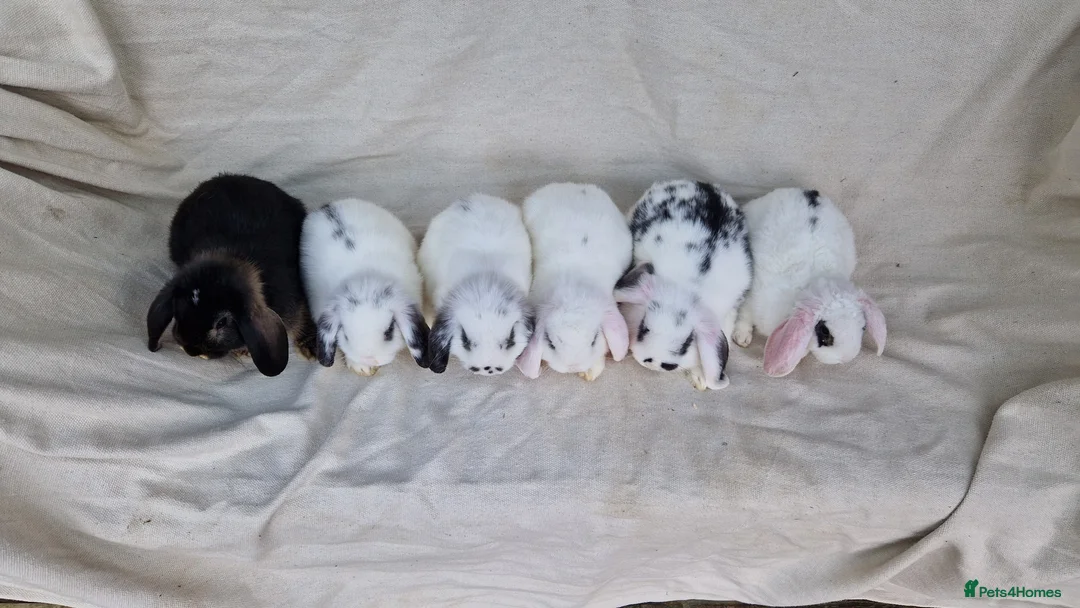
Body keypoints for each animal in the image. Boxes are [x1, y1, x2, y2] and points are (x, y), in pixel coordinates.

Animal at [300, 199, 430, 376]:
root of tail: (328, 206)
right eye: (345, 335)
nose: (371, 360)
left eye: (389, 331)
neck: (366, 281)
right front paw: (361, 368)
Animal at [515, 183, 631, 381]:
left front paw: (590, 372)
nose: (572, 367)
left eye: (594, 339)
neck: (573, 289)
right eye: (550, 343)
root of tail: (573, 186)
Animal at [613, 180, 752, 391]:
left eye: (688, 342)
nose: (655, 363)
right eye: (644, 328)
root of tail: (701, 184)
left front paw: (701, 378)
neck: (687, 289)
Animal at [732, 188, 886, 377]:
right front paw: (741, 338)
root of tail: (809, 193)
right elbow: (744, 314)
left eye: (863, 328)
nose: (846, 358)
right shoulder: (752, 297)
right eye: (825, 332)